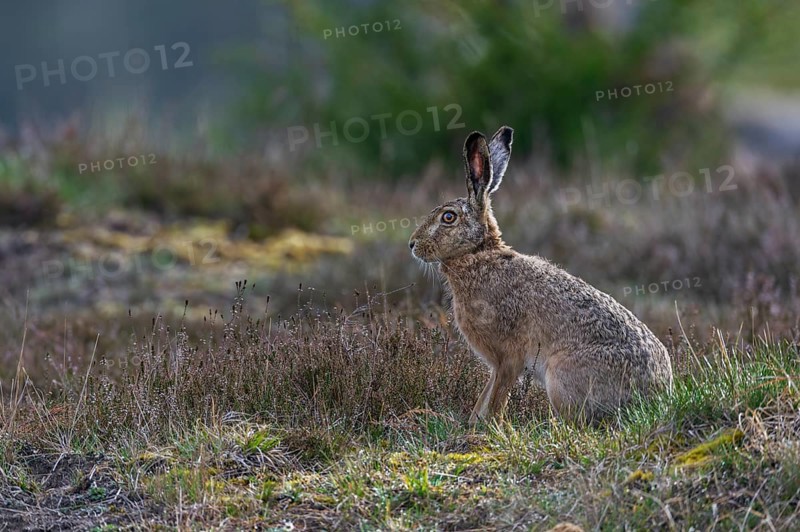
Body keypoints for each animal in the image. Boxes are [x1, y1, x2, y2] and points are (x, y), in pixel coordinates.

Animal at [409, 126, 673, 425]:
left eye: (448, 217)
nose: (412, 244)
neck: (478, 254)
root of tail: (657, 394)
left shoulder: (508, 358)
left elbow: (497, 397)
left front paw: (489, 426)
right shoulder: (497, 364)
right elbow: (485, 395)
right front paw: (474, 422)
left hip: (559, 378)